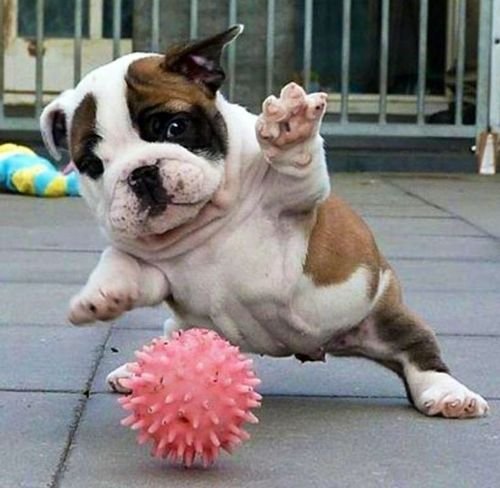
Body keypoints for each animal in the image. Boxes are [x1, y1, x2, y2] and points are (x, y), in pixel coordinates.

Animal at [40, 24, 488, 418]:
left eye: (174, 126)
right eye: (92, 166)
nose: (141, 173)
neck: (207, 221)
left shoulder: (296, 202)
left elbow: (295, 167)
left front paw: (289, 128)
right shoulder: (157, 270)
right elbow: (123, 262)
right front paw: (102, 295)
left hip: (385, 317)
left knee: (419, 354)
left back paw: (449, 394)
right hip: (191, 328)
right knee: (171, 335)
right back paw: (139, 369)